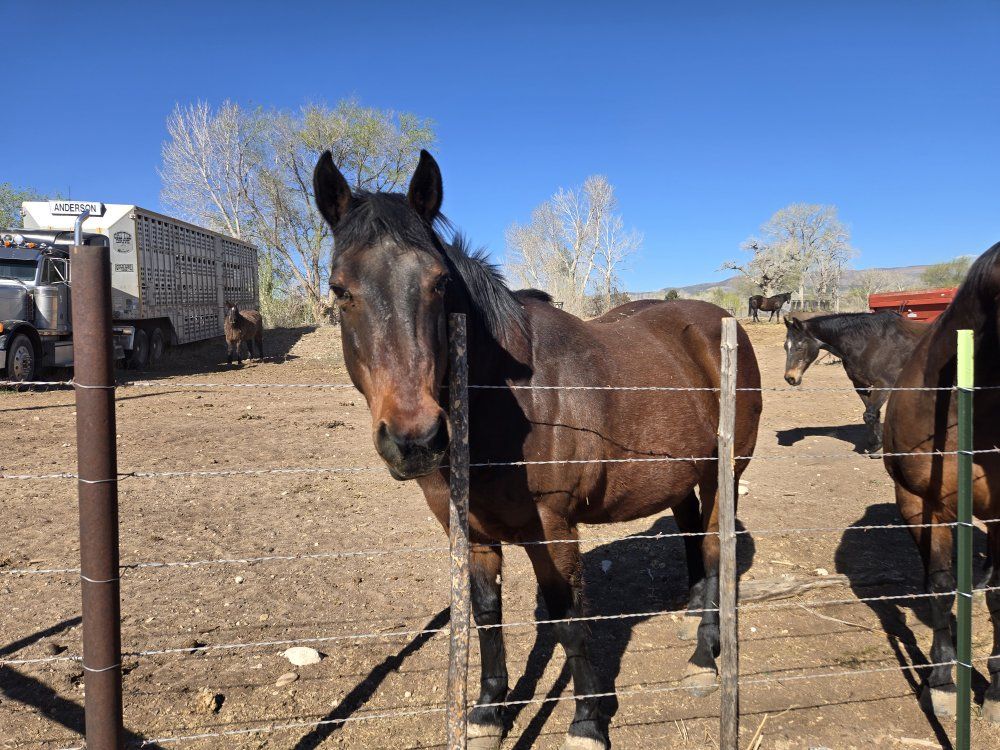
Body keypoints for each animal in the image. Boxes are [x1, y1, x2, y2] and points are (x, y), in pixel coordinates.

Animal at [312, 149, 763, 750]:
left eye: (439, 284)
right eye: (340, 290)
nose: (416, 440)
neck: (504, 406)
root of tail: (719, 320)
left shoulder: (554, 526)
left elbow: (570, 617)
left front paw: (588, 721)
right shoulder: (470, 531)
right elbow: (485, 614)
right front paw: (487, 711)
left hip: (723, 472)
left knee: (715, 548)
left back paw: (704, 657)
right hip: (681, 472)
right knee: (691, 528)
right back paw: (692, 612)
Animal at [783, 311, 926, 453]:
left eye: (800, 347)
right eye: (785, 346)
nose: (790, 378)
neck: (871, 343)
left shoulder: (884, 384)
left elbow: (870, 414)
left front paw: (876, 448)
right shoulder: (860, 385)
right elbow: (872, 413)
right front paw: (875, 444)